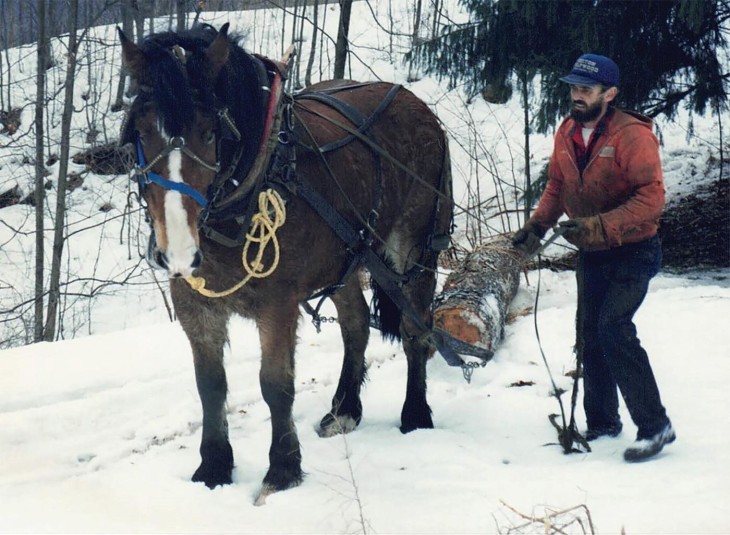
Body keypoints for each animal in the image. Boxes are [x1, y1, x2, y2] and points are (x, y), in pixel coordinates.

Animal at [117, 22, 452, 506]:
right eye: (142, 131)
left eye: (210, 132)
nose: (177, 250)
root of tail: (415, 102)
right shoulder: (193, 303)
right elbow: (210, 385)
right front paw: (213, 467)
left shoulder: (277, 303)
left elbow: (275, 384)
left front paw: (282, 469)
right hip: (347, 259)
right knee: (356, 326)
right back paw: (345, 409)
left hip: (416, 249)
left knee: (415, 330)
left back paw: (416, 414)